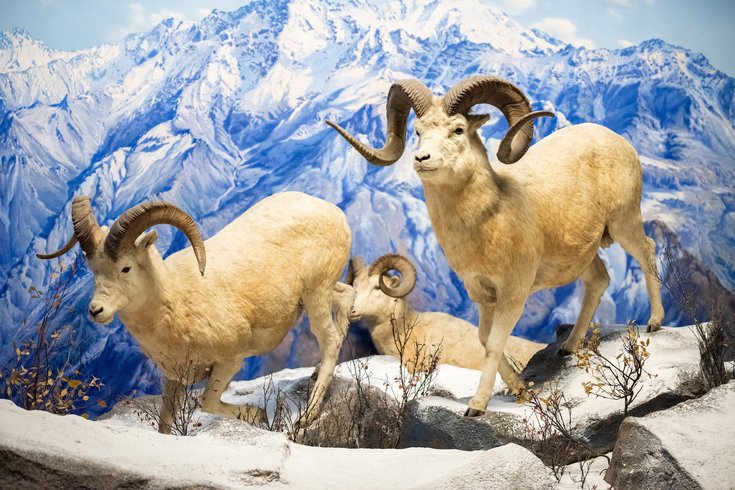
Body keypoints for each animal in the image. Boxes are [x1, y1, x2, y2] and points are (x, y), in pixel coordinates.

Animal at [38, 191, 354, 433]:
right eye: (93, 269)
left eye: (125, 268)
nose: (96, 310)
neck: (176, 300)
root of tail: (335, 212)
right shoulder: (175, 378)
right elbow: (165, 424)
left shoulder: (230, 362)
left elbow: (207, 403)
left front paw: (257, 415)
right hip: (320, 293)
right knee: (346, 298)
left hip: (315, 295)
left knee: (330, 341)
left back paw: (306, 417)